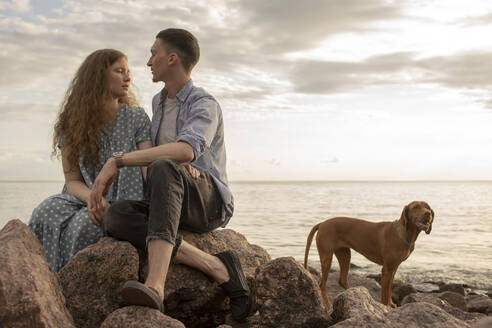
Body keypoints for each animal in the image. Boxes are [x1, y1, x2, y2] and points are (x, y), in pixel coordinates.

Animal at [304, 200, 434, 310]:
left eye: (428, 207)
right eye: (416, 207)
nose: (428, 213)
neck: (404, 233)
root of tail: (322, 223)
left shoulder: (394, 268)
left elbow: (390, 289)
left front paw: (391, 304)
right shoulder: (386, 269)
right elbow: (385, 293)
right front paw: (385, 306)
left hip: (345, 254)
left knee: (342, 280)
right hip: (327, 257)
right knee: (322, 285)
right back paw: (328, 304)